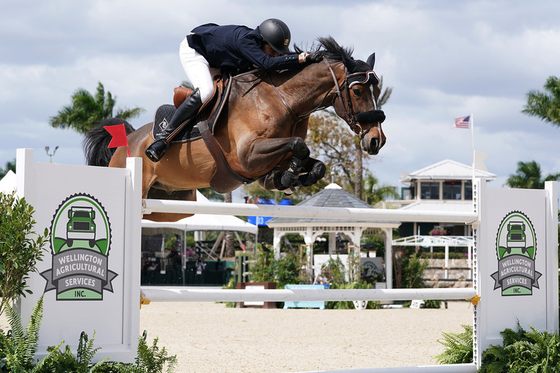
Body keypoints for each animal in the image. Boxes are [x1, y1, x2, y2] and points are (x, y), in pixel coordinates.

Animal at [83, 37, 388, 221]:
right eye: (358, 90)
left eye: (378, 90)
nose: (377, 141)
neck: (284, 99)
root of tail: (126, 143)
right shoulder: (247, 155)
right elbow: (299, 145)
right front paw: (289, 177)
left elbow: (315, 164)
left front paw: (286, 179)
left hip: (170, 204)